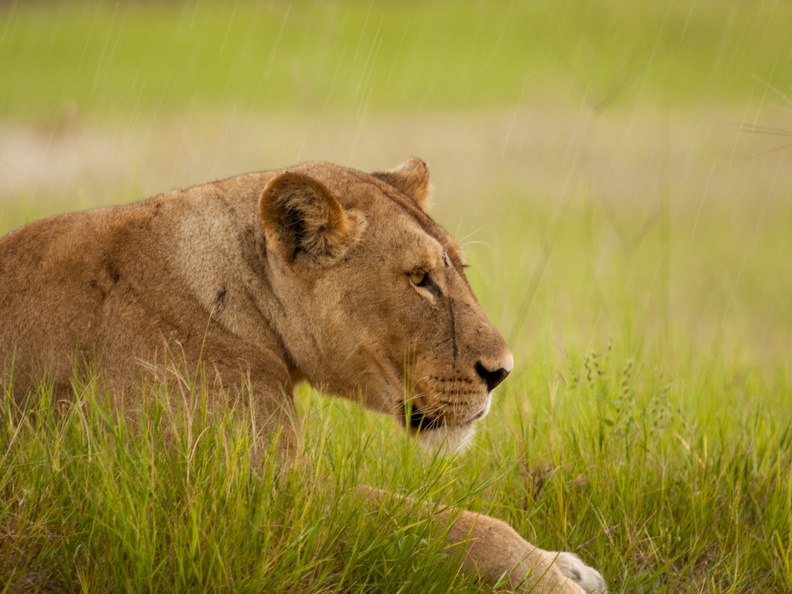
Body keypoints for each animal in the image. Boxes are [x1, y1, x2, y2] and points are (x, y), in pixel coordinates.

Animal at [0, 158, 605, 593]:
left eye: (459, 269)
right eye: (420, 279)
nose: (502, 373)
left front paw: (564, 564)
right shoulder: (251, 503)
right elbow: (436, 520)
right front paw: (549, 580)